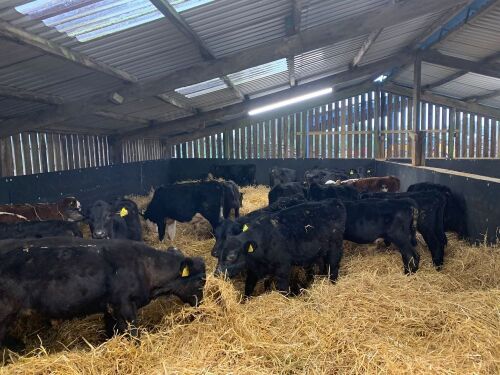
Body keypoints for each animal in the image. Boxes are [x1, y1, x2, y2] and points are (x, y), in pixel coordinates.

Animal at [0, 239, 206, 348]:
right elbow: (133, 334)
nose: (201, 307)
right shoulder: (124, 306)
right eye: (201, 281)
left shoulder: (109, 308)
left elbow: (111, 330)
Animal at [213, 200, 346, 296]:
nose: (216, 274)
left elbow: (282, 288)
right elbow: (248, 287)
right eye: (219, 256)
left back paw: (332, 284)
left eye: (231, 256)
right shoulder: (253, 269)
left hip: (335, 247)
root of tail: (333, 202)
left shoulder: (283, 267)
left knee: (333, 267)